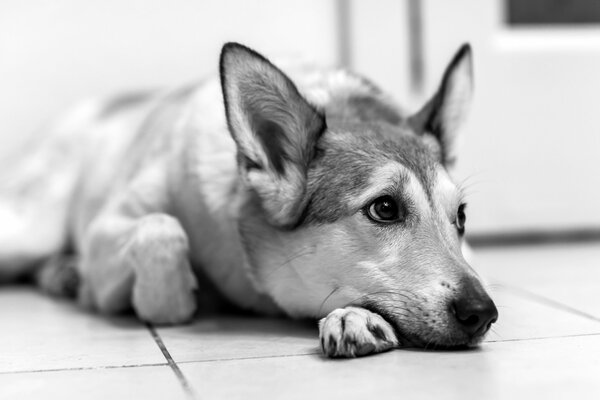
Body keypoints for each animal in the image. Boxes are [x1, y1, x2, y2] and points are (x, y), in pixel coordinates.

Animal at [0, 42, 496, 358]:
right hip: (29, 229)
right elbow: (163, 233)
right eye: (385, 208)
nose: (483, 313)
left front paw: (351, 318)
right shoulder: (108, 229)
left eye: (461, 216)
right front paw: (177, 299)